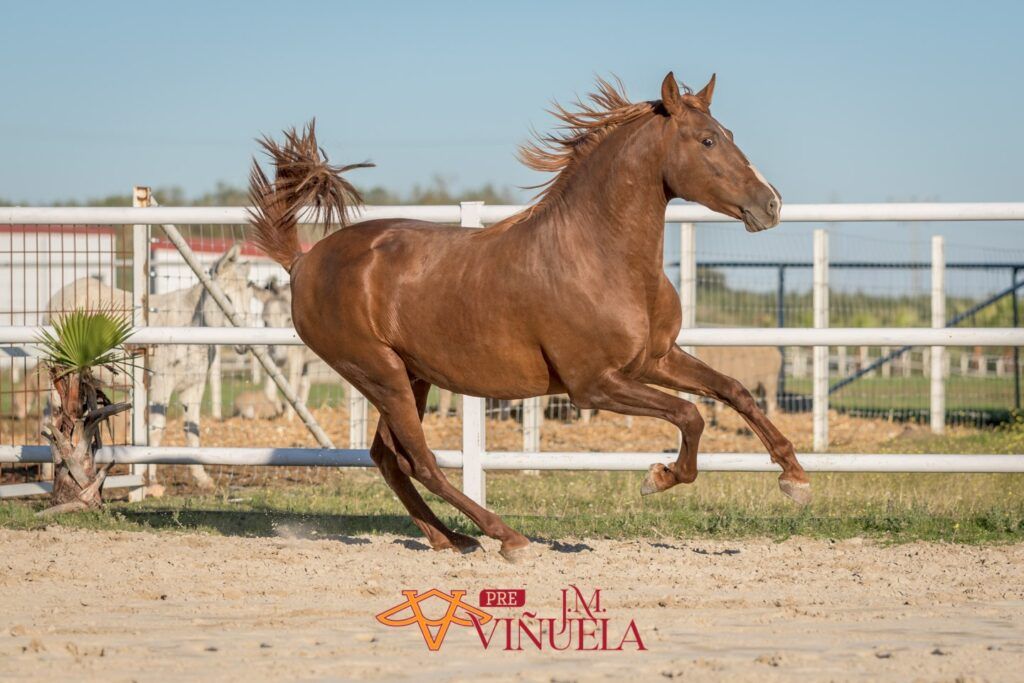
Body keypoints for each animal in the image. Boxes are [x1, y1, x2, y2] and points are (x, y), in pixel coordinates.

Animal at [45, 242, 256, 489]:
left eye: (250, 296)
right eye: (227, 298)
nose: (245, 345)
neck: (191, 326)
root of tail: (62, 292)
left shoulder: (194, 384)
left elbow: (192, 429)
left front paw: (202, 478)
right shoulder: (162, 383)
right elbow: (157, 430)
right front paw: (152, 480)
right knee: (52, 417)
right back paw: (52, 473)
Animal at [245, 72, 806, 561]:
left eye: (729, 134)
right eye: (707, 140)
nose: (771, 205)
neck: (600, 256)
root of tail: (302, 262)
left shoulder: (656, 359)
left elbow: (733, 390)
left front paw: (794, 477)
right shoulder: (593, 385)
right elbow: (691, 414)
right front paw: (659, 476)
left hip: (410, 376)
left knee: (388, 458)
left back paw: (450, 539)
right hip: (378, 373)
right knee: (419, 460)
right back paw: (505, 537)